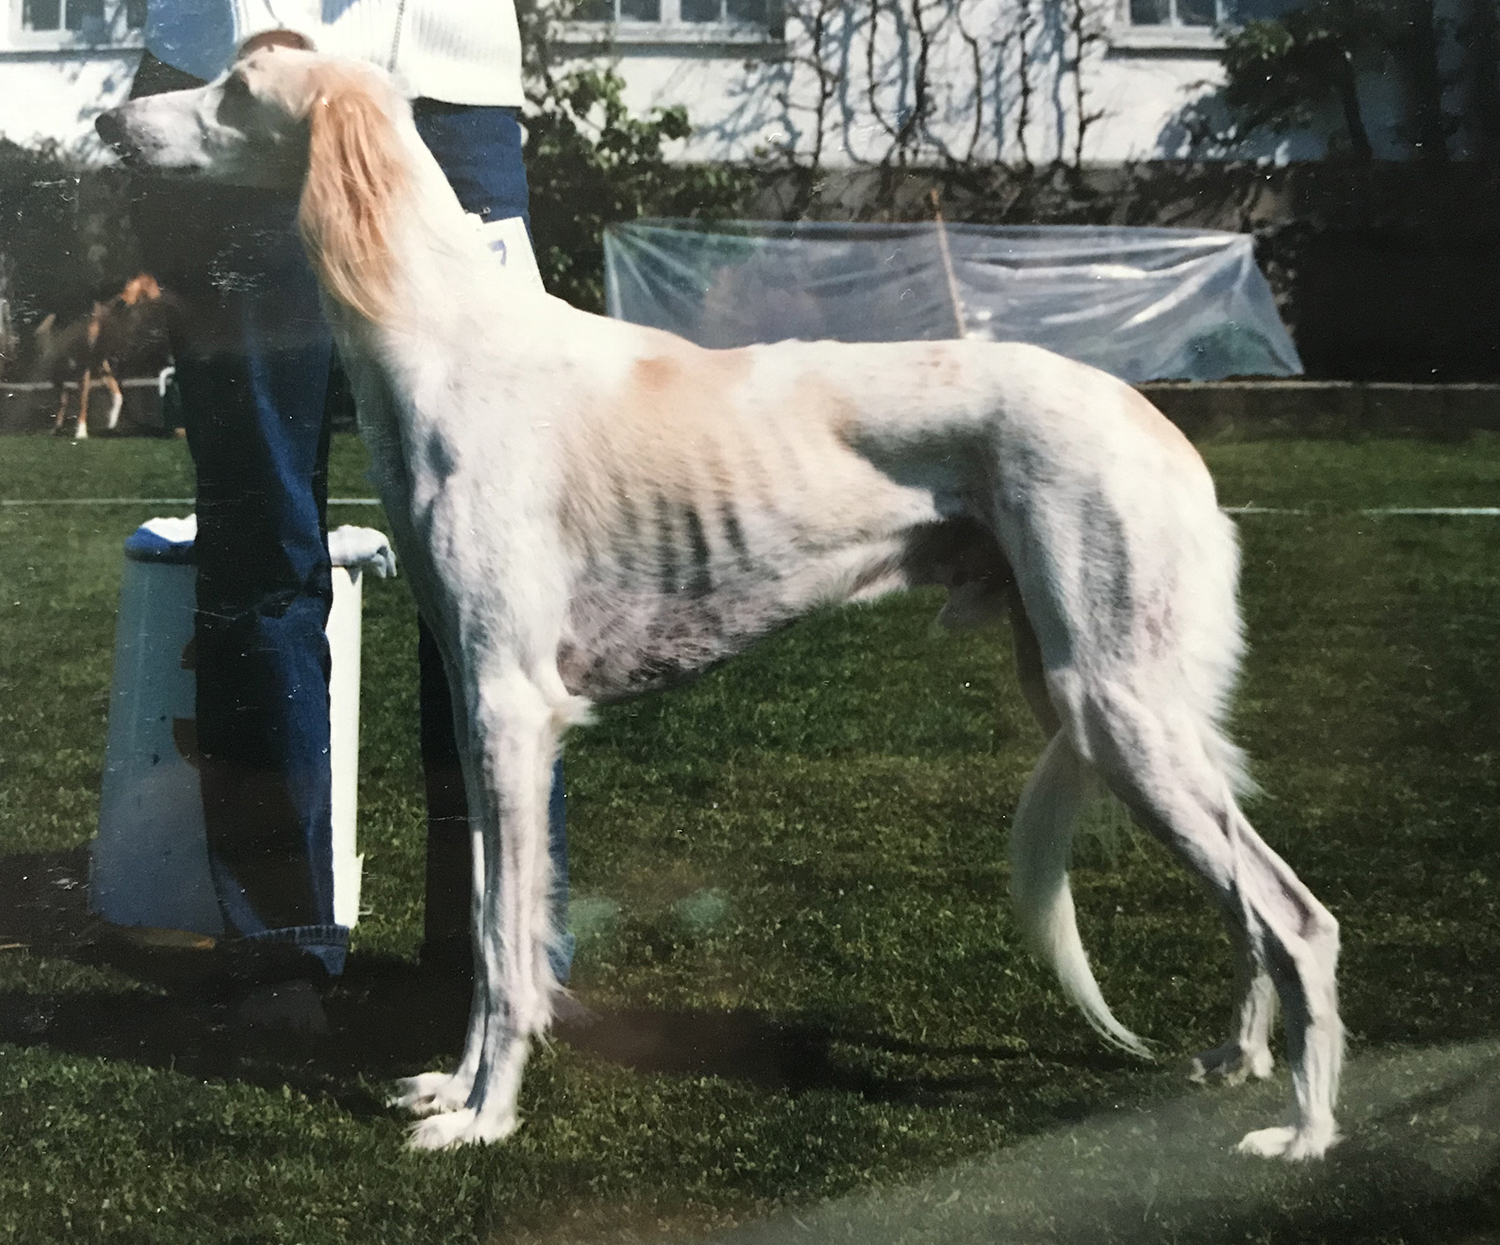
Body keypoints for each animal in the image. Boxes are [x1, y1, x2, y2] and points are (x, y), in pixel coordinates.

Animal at [102, 46, 1350, 1158]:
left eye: (236, 89)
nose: (115, 121)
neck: (449, 339)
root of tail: (1161, 426)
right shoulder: (471, 704)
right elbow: (493, 923)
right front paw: (452, 1090)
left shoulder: (512, 708)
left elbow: (505, 946)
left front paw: (484, 1119)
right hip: (1092, 699)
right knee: (1250, 906)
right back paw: (1238, 1063)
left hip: (1113, 705)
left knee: (1298, 916)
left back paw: (1305, 1130)